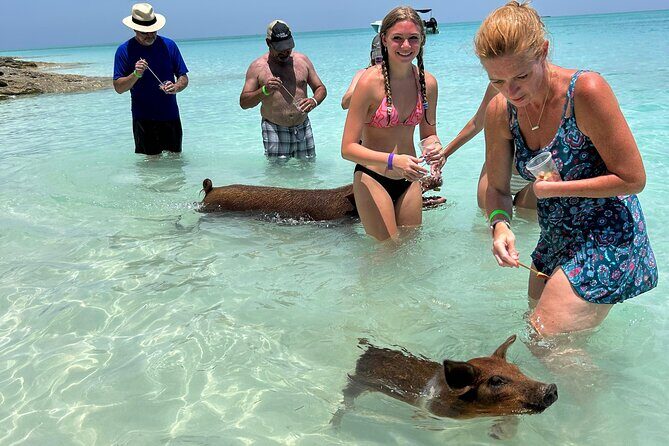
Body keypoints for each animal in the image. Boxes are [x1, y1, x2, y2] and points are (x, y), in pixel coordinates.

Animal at [331, 335, 557, 427]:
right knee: (345, 398)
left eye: (517, 369)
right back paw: (335, 427)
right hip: (358, 381)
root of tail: (368, 349)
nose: (551, 388)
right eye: (496, 381)